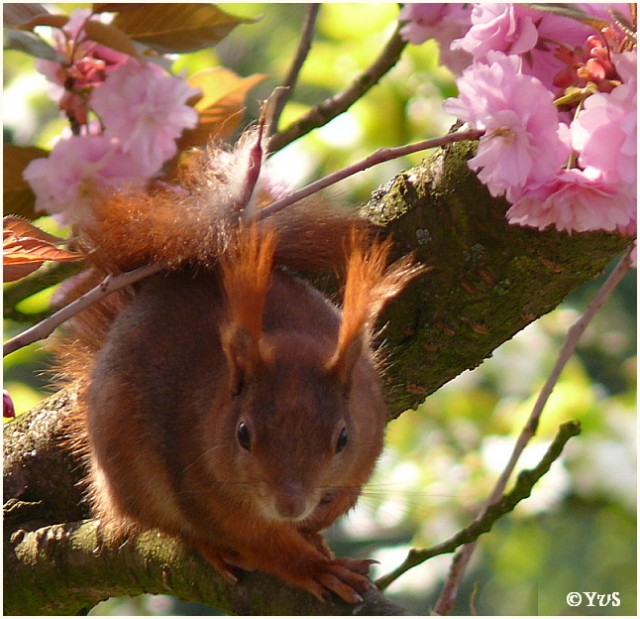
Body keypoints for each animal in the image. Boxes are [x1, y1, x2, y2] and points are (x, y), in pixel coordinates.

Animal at [57, 134, 422, 604]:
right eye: (243, 434)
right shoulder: (203, 490)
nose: (290, 505)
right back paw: (211, 547)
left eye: (343, 438)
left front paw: (317, 531)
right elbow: (256, 540)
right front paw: (315, 567)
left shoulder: (367, 439)